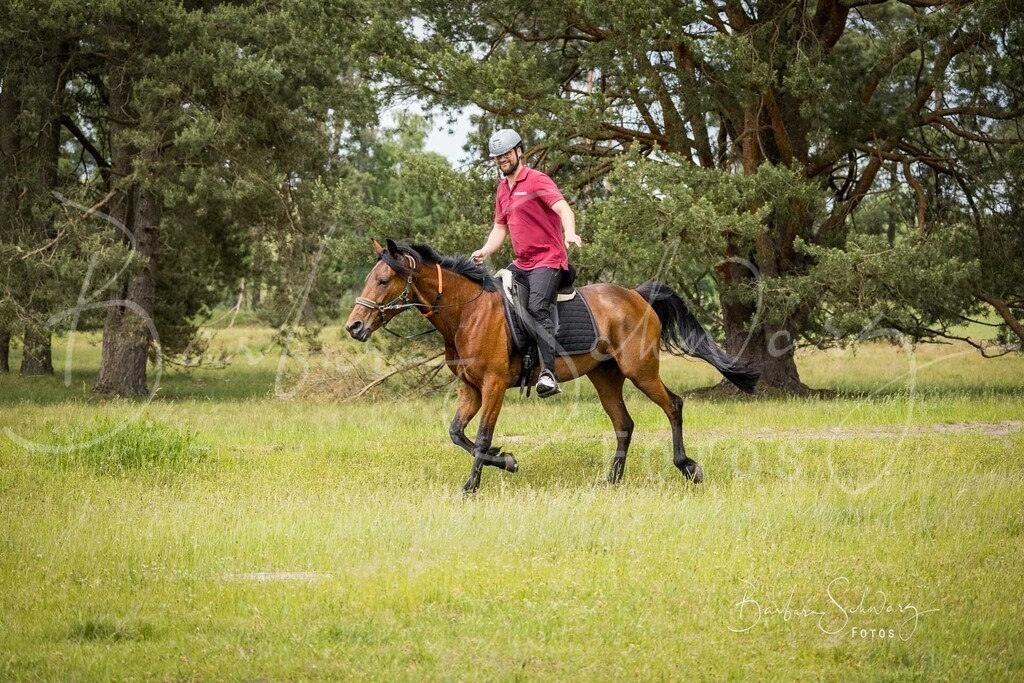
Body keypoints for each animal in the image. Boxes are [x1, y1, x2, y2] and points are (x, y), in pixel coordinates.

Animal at [345, 239, 759, 493]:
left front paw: (472, 485)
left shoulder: (493, 386)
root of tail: (636, 295)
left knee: (673, 405)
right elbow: (457, 433)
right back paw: (612, 481)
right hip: (605, 376)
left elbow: (481, 437)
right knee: (624, 424)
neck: (467, 313)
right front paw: (506, 460)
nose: (355, 326)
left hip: (640, 370)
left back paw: (687, 466)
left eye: (383, 280)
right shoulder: (472, 389)